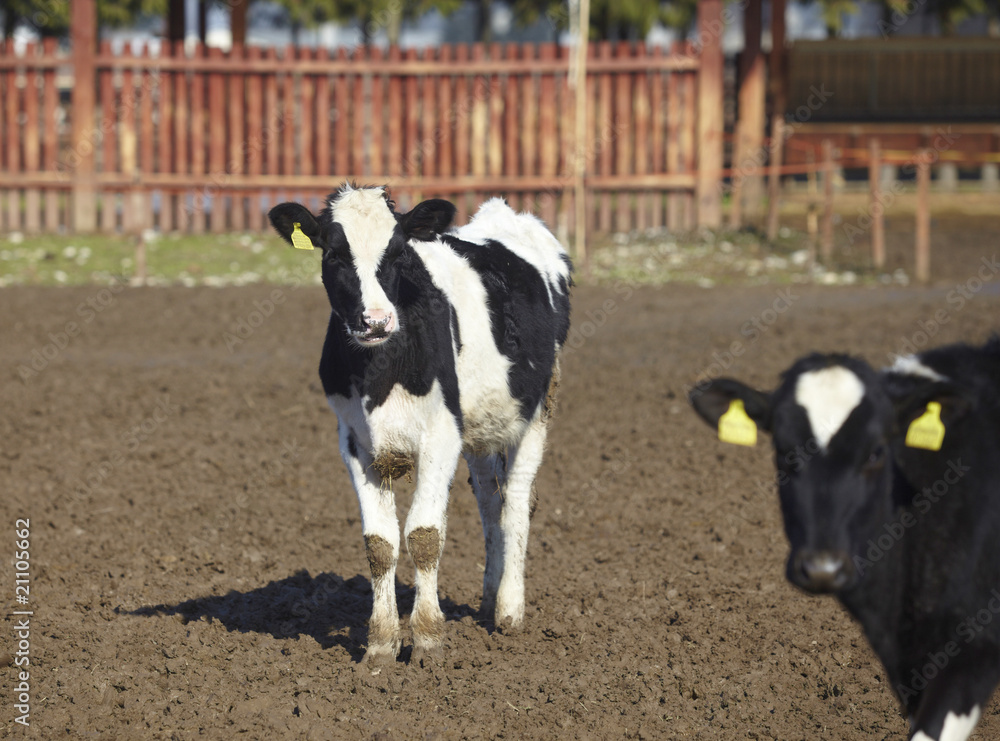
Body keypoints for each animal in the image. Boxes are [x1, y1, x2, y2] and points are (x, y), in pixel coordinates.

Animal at [268, 184, 571, 671]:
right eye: (332, 253)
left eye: (397, 251)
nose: (375, 321)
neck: (382, 371)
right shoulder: (354, 441)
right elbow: (379, 544)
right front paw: (380, 645)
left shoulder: (441, 435)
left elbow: (425, 536)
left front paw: (428, 641)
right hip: (480, 429)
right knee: (490, 501)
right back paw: (488, 599)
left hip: (539, 406)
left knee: (517, 501)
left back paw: (509, 610)